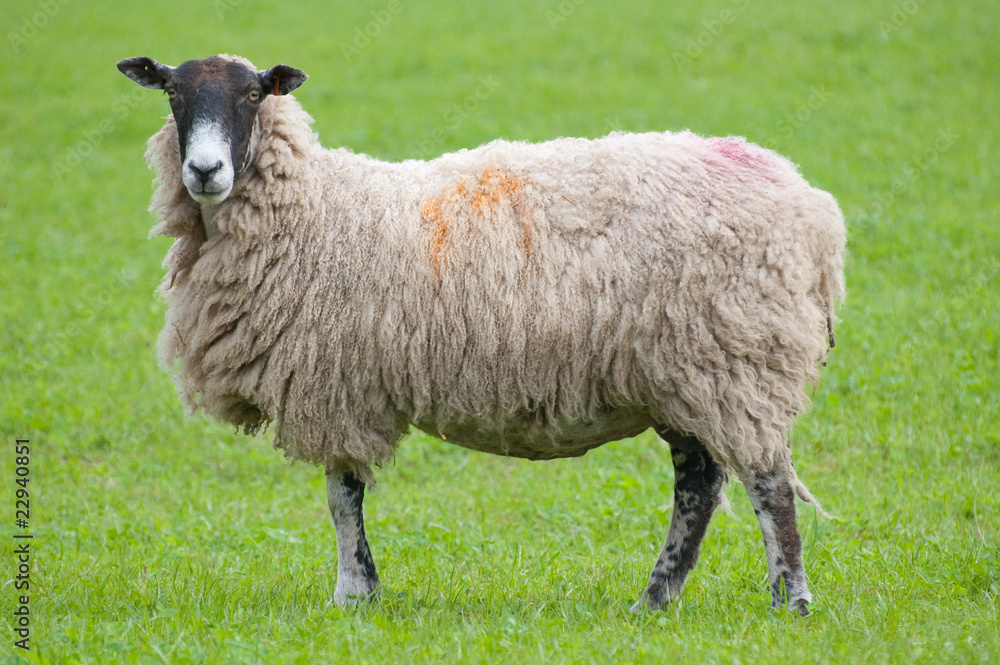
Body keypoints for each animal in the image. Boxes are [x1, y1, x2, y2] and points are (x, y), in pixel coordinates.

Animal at [117, 54, 848, 616]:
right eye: (174, 94)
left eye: (252, 94)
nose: (205, 171)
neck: (314, 209)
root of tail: (809, 207)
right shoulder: (341, 380)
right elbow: (344, 494)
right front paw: (361, 590)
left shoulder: (336, 382)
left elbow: (341, 495)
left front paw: (353, 592)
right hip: (686, 372)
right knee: (699, 485)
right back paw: (654, 600)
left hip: (734, 358)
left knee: (768, 484)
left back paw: (790, 601)